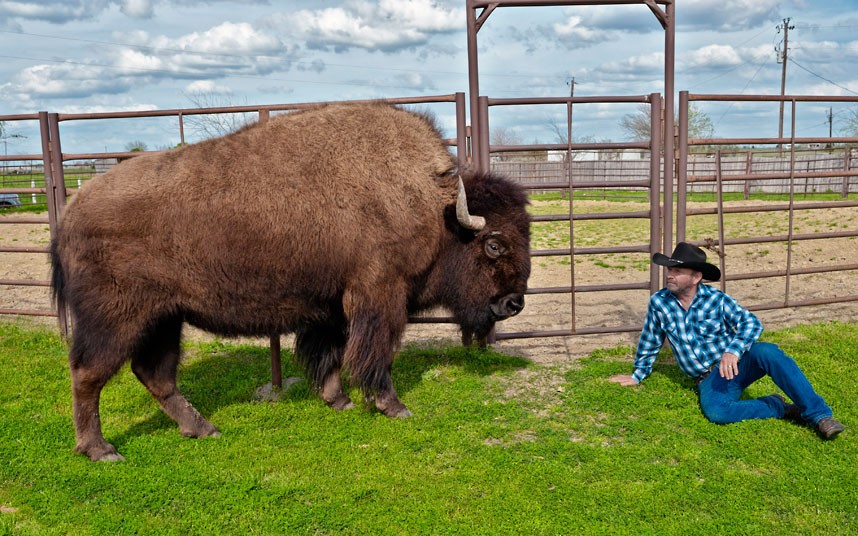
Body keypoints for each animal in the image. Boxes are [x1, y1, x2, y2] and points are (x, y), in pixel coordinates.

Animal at [51, 102, 528, 462]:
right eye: (494, 244)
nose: (514, 304)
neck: (436, 205)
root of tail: (69, 214)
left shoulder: (334, 306)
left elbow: (330, 352)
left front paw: (339, 400)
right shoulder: (379, 295)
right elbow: (375, 353)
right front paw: (393, 407)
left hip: (165, 319)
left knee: (155, 374)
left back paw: (203, 428)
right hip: (117, 320)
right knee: (88, 374)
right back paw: (101, 450)